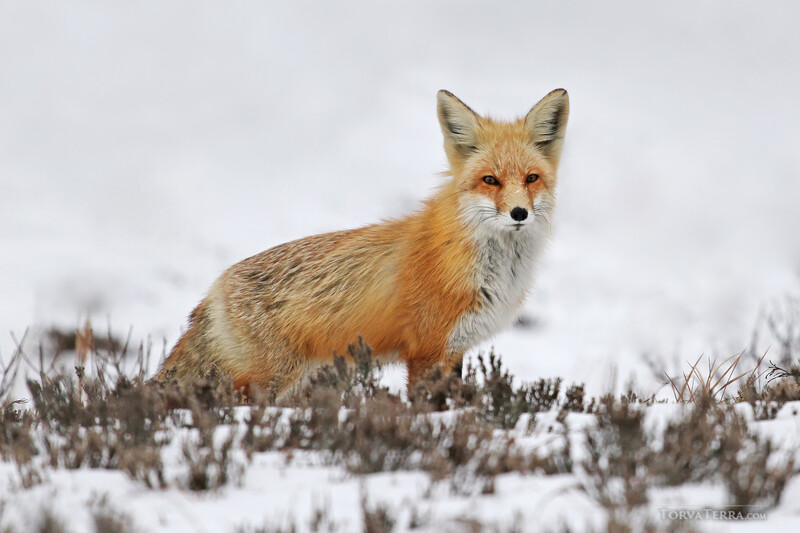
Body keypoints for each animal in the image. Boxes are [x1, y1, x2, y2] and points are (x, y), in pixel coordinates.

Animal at [155, 88, 569, 394]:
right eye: (490, 181)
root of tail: (214, 288)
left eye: (531, 178)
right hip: (272, 380)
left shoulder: (455, 350)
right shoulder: (427, 351)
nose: (519, 213)